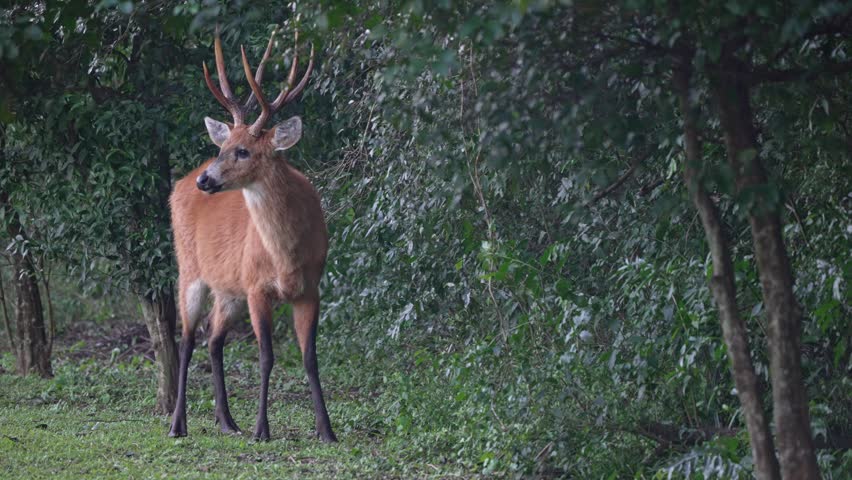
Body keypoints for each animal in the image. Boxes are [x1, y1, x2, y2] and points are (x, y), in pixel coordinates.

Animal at [167, 27, 337, 443]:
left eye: (242, 151)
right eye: (223, 147)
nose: (206, 180)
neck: (286, 257)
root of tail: (178, 183)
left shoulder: (311, 289)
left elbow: (310, 358)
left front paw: (326, 430)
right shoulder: (258, 286)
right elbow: (266, 356)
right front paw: (263, 429)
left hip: (229, 289)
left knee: (213, 337)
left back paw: (227, 422)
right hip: (189, 270)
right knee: (186, 339)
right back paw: (178, 424)